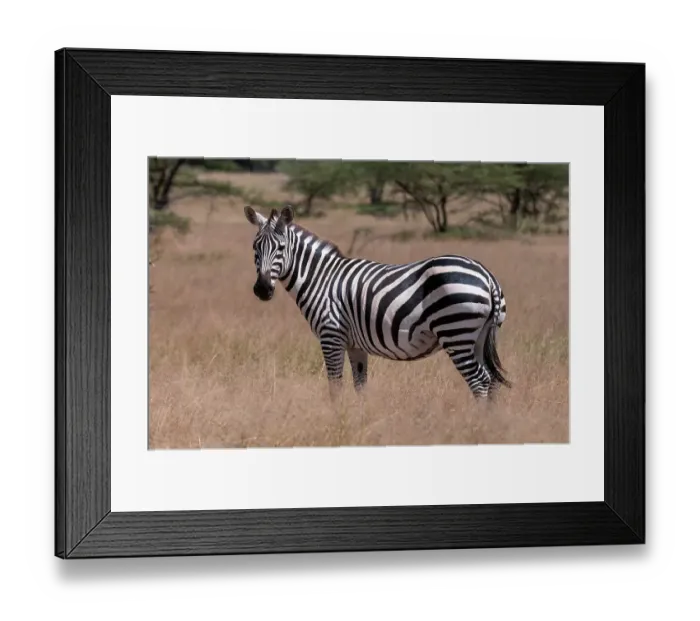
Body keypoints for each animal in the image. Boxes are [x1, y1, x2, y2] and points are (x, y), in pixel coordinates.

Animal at [244, 204, 510, 402]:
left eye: (280, 247)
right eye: (255, 247)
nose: (262, 289)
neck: (321, 278)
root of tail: (487, 276)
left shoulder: (331, 335)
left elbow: (335, 386)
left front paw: (336, 420)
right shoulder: (354, 344)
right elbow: (360, 386)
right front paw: (358, 422)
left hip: (456, 331)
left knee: (480, 381)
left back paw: (477, 425)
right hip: (479, 336)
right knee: (492, 381)